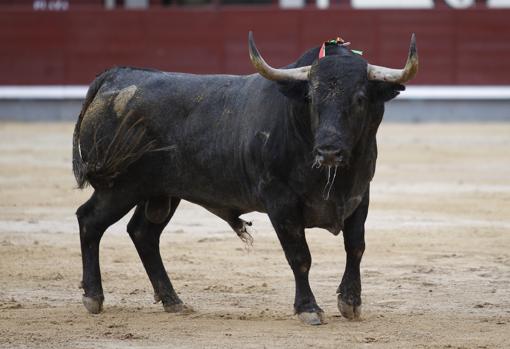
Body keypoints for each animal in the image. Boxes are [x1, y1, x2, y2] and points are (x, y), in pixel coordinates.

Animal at [73, 32, 420, 324]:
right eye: (311, 98)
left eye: (360, 98)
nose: (329, 151)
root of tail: (116, 76)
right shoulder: (280, 202)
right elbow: (300, 256)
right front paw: (308, 308)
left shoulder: (360, 194)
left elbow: (356, 247)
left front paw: (350, 302)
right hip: (119, 187)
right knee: (90, 221)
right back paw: (94, 297)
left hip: (162, 191)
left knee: (143, 233)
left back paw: (173, 301)